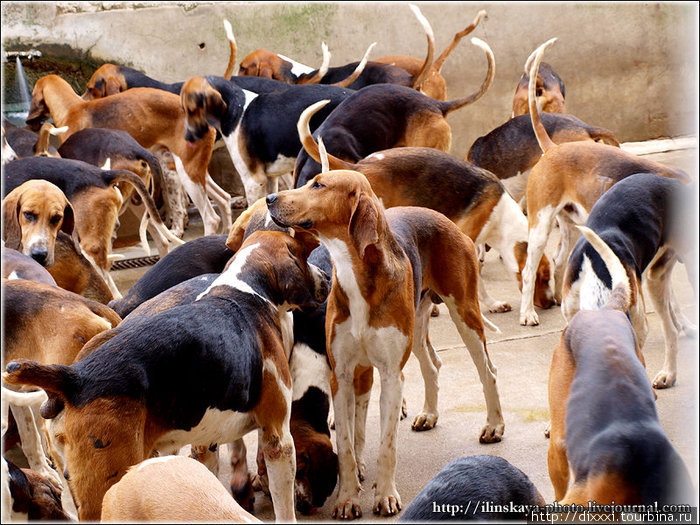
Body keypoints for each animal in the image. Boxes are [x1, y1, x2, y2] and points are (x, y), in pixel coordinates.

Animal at [3, 229, 330, 520]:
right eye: (302, 255)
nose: (327, 278)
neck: (246, 290)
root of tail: (75, 377)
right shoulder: (278, 440)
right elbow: (284, 508)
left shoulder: (205, 443)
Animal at [264, 170, 504, 516]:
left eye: (319, 185)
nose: (269, 199)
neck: (354, 271)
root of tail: (439, 216)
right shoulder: (343, 376)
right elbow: (347, 446)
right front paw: (348, 498)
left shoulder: (390, 375)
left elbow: (387, 445)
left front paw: (386, 495)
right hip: (416, 328)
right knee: (432, 365)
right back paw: (429, 413)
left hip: (465, 314)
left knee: (488, 371)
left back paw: (494, 425)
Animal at [516, 41, 692, 326]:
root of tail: (553, 148)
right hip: (540, 225)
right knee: (530, 270)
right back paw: (527, 313)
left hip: (572, 226)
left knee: (559, 260)